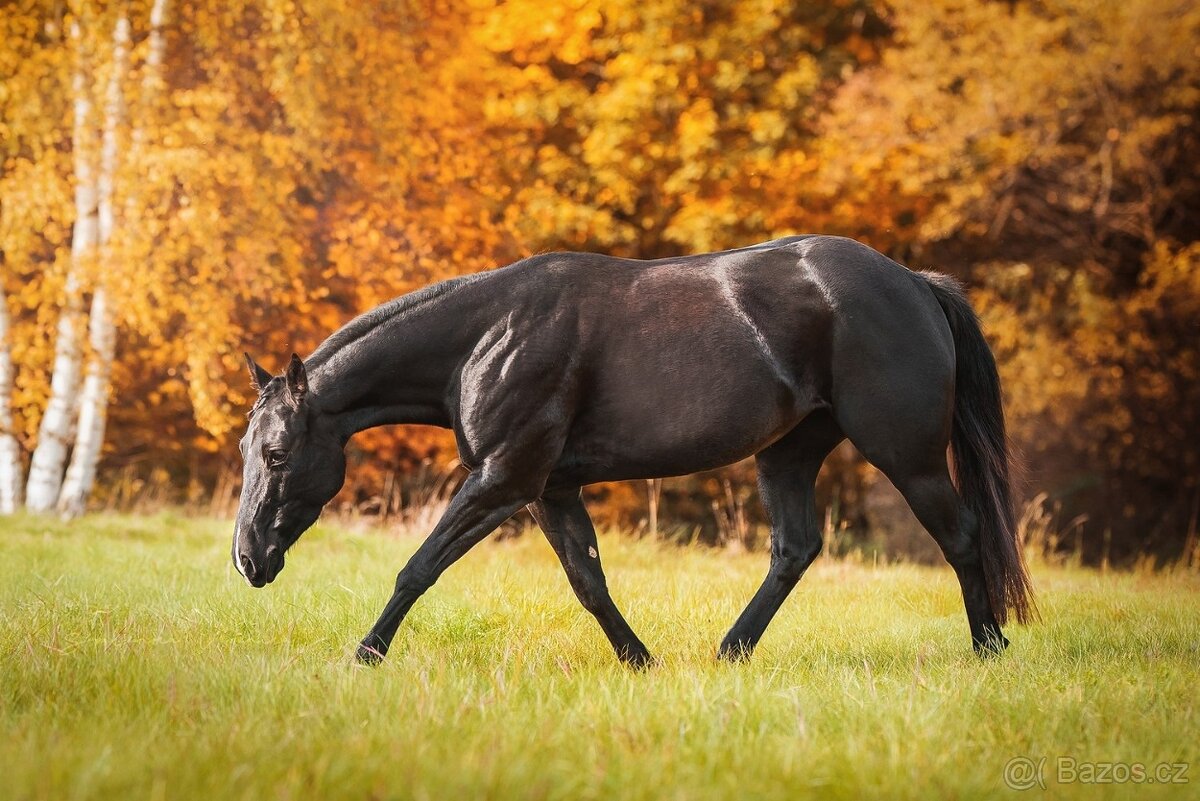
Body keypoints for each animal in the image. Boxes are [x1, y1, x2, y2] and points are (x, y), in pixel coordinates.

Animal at [233, 234, 1035, 667]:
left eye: (275, 454)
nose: (248, 559)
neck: (488, 337)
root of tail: (916, 284)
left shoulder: (503, 480)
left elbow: (417, 567)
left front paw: (365, 654)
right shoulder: (548, 488)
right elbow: (588, 581)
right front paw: (640, 660)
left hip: (908, 455)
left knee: (963, 536)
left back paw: (989, 649)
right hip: (788, 452)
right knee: (795, 549)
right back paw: (729, 651)